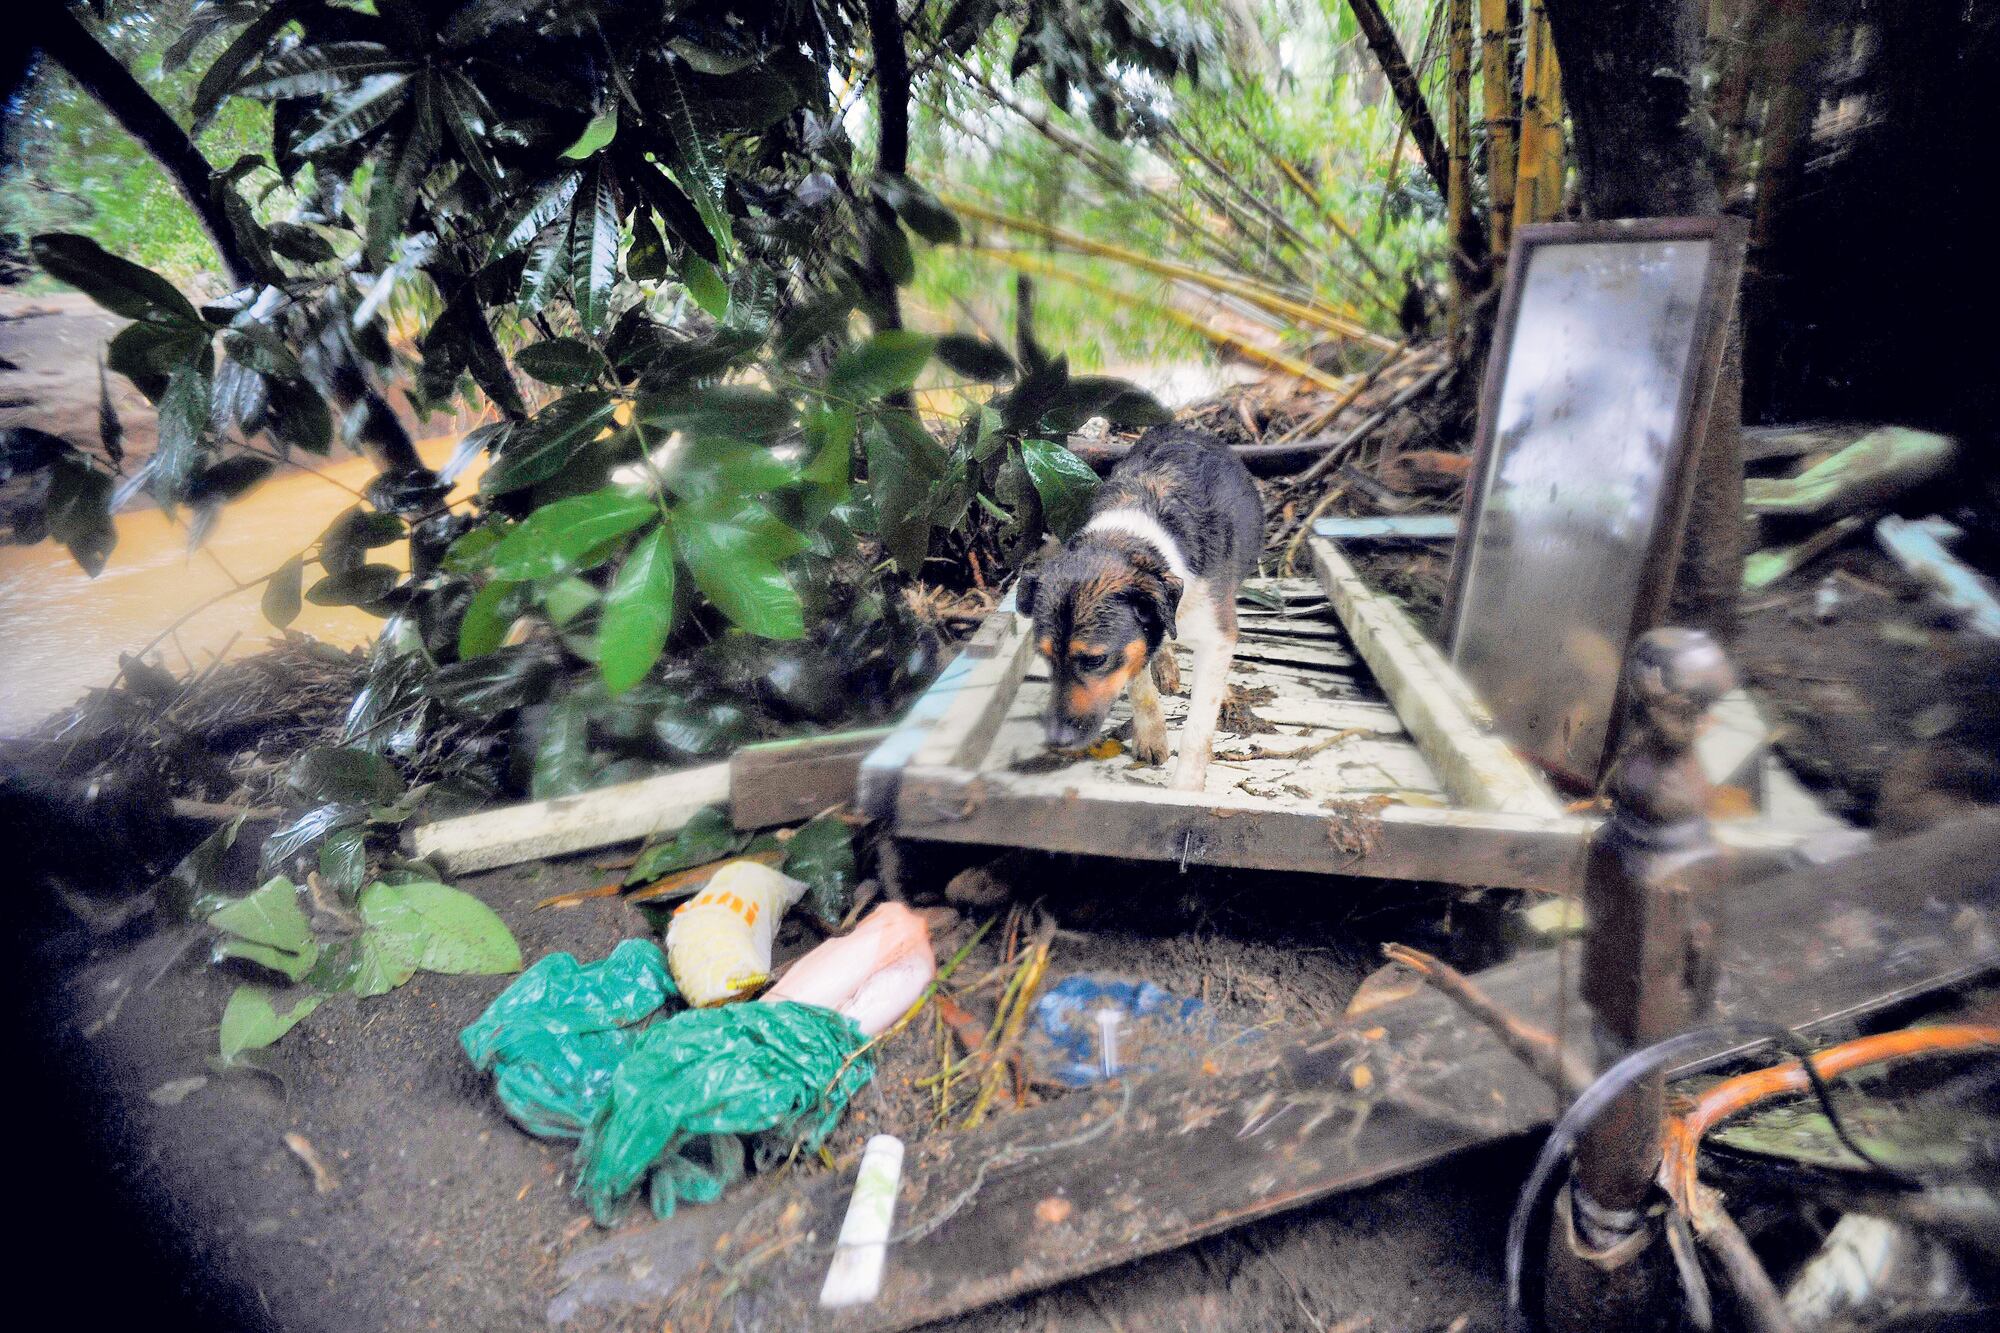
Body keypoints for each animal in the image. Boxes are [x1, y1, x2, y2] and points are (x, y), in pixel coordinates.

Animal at [1016, 425, 1262, 791]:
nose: (1057, 740)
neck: (1129, 537)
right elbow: (1140, 683)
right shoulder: (1137, 638)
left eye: (1095, 660)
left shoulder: (1216, 634)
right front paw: (1152, 737)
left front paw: (1186, 788)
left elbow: (1198, 724)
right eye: (1044, 656)